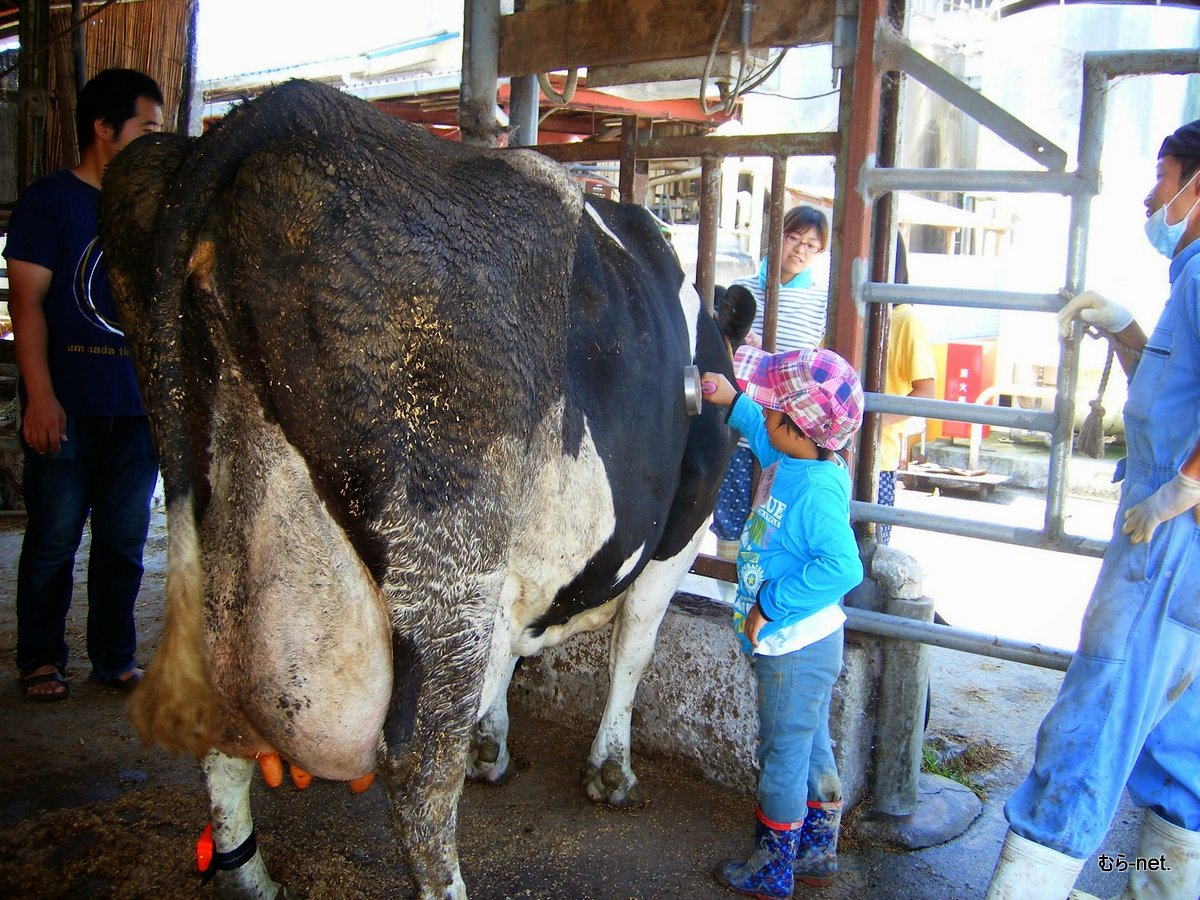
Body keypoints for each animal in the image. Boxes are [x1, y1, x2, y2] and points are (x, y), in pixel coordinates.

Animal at [103, 81, 753, 897]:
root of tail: (275, 113)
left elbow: (513, 646)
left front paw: (493, 744)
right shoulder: (680, 533)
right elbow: (633, 647)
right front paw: (609, 770)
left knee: (219, 727)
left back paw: (249, 878)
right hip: (442, 549)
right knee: (417, 761)